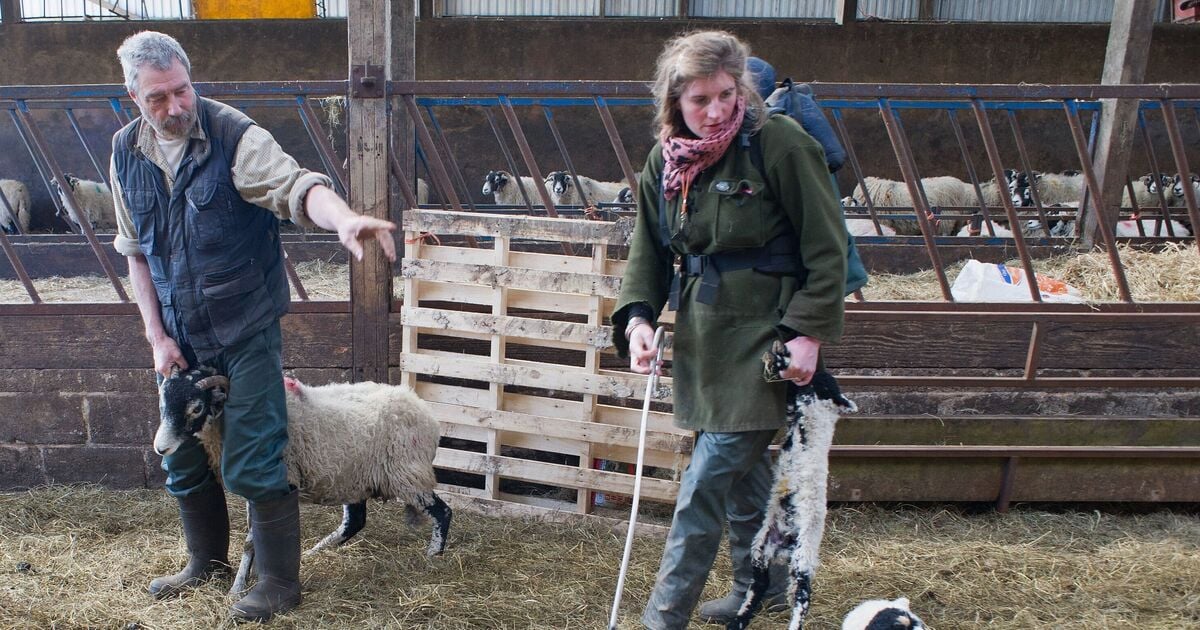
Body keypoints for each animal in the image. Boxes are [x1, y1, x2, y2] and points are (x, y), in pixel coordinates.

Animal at [150, 362, 451, 595]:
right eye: (163, 402)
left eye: (196, 408)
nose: (161, 448)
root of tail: (421, 408)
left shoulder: (273, 480)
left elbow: (251, 540)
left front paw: (238, 588)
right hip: (353, 475)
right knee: (354, 522)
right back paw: (315, 552)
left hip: (407, 473)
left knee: (443, 512)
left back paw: (433, 554)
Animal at [724, 343, 859, 628]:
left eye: (823, 379)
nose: (815, 369)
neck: (824, 410)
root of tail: (785, 544)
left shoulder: (805, 408)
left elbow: (792, 392)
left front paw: (781, 358)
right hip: (761, 548)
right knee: (760, 584)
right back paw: (739, 619)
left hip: (802, 560)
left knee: (801, 598)